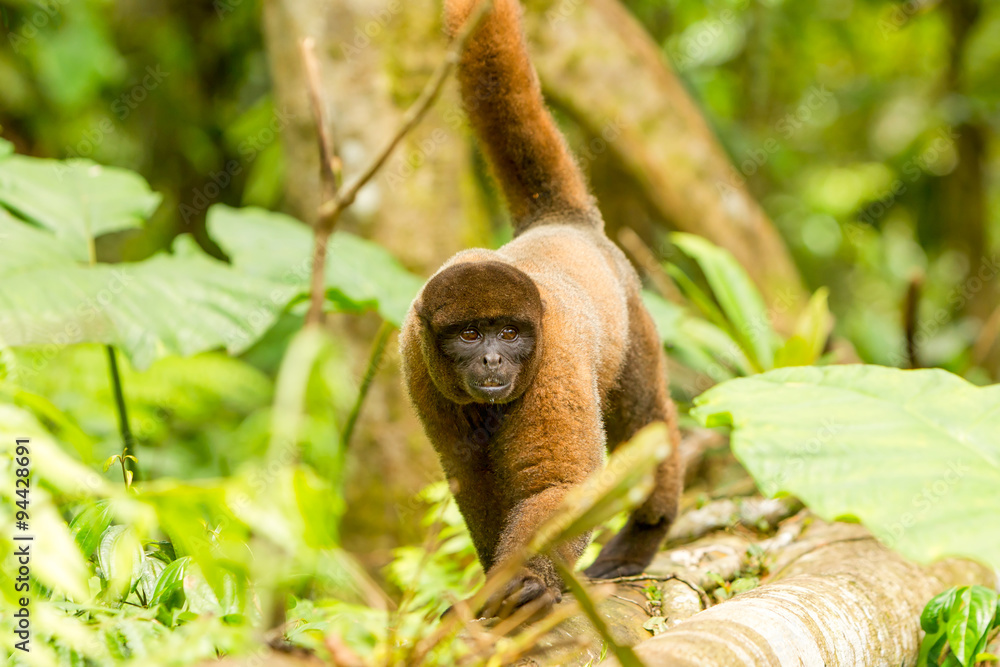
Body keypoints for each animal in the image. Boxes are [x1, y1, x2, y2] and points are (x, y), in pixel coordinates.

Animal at [399, 0, 682, 618]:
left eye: (508, 333)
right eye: (469, 335)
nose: (491, 362)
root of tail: (564, 222)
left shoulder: (554, 359)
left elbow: (559, 487)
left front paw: (526, 580)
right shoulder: (417, 367)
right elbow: (470, 482)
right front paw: (492, 582)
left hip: (632, 310)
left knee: (646, 415)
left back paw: (644, 534)